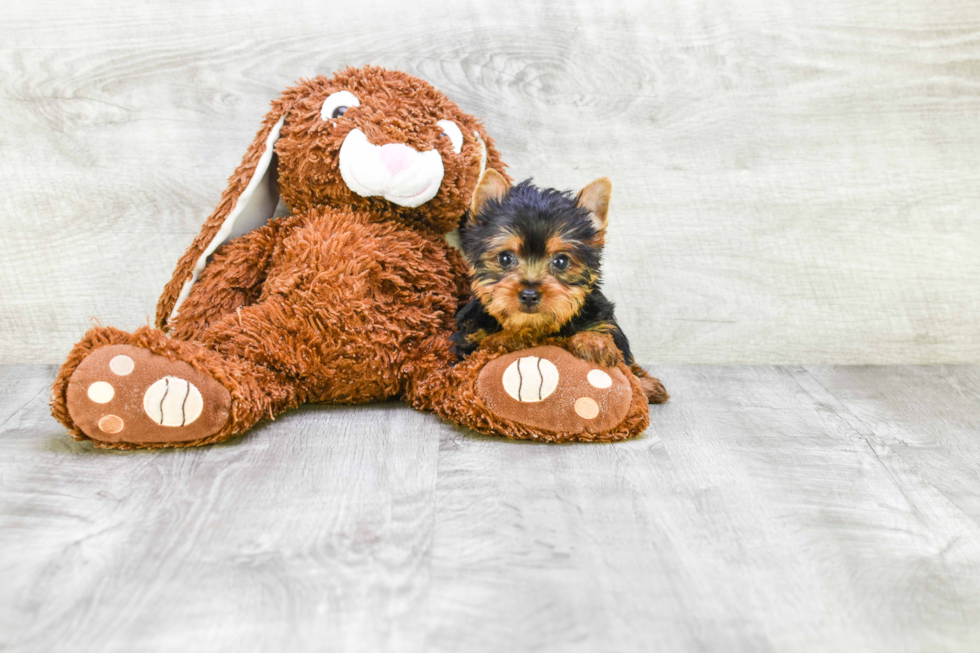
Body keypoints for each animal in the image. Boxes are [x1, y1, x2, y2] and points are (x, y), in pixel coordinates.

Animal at [450, 168, 668, 402]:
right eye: (505, 258)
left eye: (561, 261)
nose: (529, 294)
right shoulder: (469, 338)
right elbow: (488, 344)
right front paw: (512, 337)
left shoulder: (601, 319)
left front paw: (595, 343)